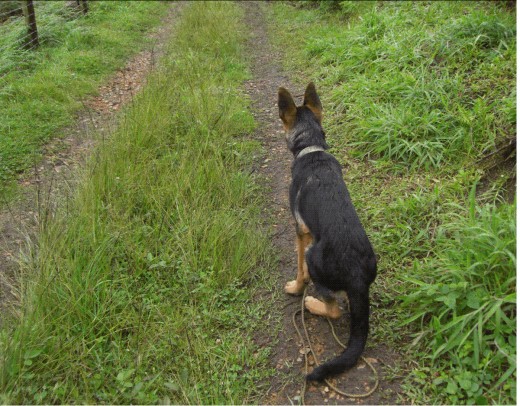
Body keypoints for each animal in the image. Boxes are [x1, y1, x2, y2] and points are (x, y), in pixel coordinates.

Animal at [276, 83, 378, 384]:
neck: (312, 148)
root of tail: (356, 277)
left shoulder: (300, 231)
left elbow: (299, 269)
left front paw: (297, 288)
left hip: (314, 255)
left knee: (334, 310)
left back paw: (311, 303)